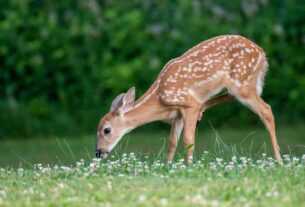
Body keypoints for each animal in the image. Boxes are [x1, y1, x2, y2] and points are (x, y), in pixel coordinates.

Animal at [95, 34, 280, 163]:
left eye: (106, 130)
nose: (98, 153)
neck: (159, 98)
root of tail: (261, 52)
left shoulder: (188, 104)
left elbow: (188, 140)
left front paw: (189, 166)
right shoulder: (177, 114)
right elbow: (171, 143)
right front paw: (167, 166)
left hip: (243, 82)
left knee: (266, 110)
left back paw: (279, 161)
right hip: (239, 85)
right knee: (229, 97)